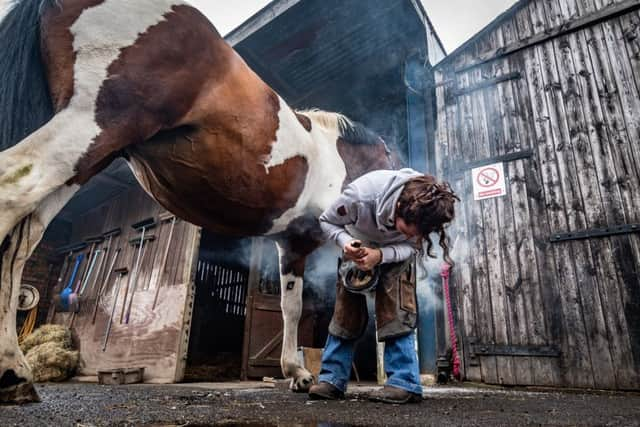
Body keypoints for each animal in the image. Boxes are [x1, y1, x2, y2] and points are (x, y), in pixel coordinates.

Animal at [0, 0, 398, 404]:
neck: (331, 152)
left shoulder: (292, 246)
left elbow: (291, 306)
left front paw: (296, 374)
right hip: (93, 127)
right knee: (10, 187)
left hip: (82, 163)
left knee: (20, 246)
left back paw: (14, 372)